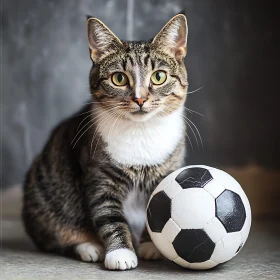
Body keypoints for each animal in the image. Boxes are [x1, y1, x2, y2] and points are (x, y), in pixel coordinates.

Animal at [21, 13, 188, 272]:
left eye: (158, 77)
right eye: (119, 78)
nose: (140, 99)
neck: (141, 132)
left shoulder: (165, 175)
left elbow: (157, 211)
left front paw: (152, 245)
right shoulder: (101, 179)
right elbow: (110, 217)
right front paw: (120, 252)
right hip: (45, 197)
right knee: (57, 235)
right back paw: (89, 247)